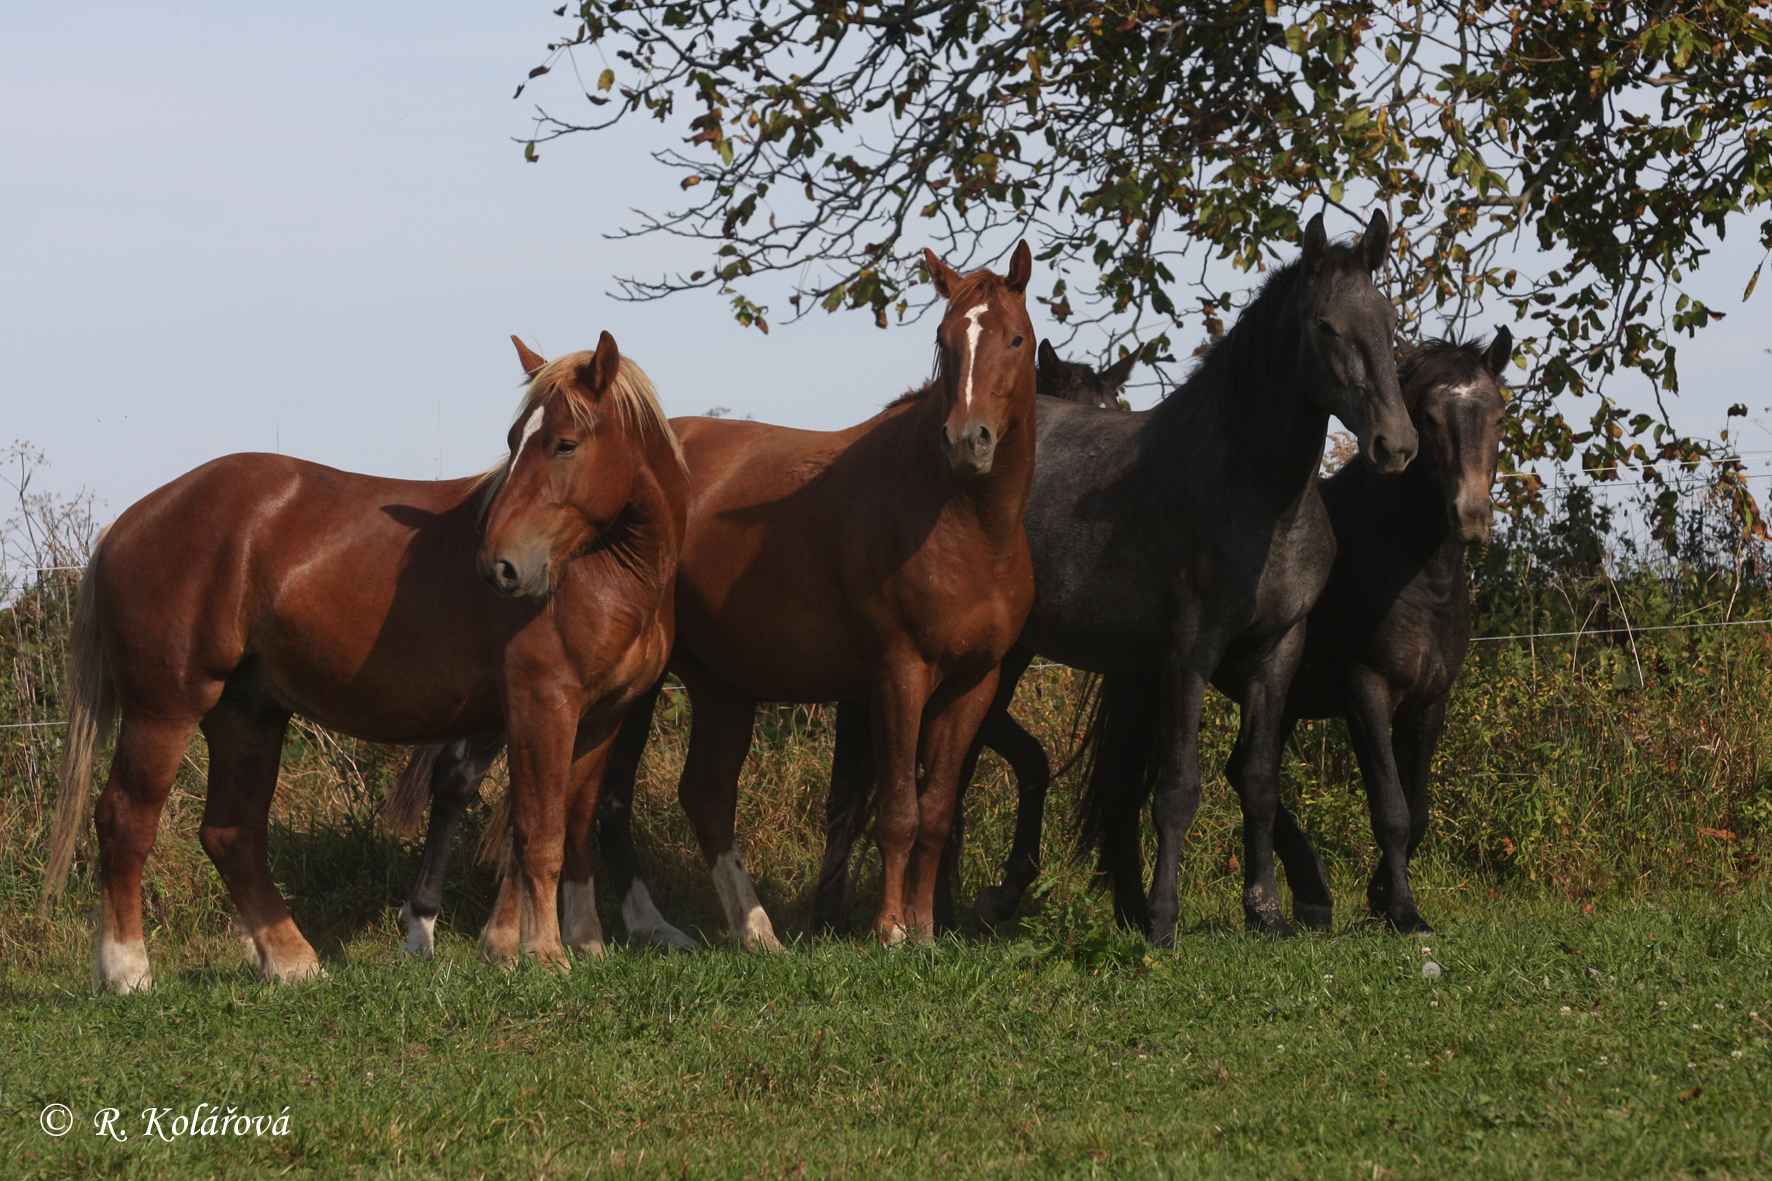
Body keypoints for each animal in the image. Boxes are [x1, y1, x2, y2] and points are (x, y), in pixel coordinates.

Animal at [43, 331, 683, 985]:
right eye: (514, 441)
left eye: (565, 443)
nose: (500, 566)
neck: (601, 571)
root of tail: (128, 524)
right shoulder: (541, 703)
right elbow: (540, 831)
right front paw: (545, 954)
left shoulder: (601, 717)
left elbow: (571, 824)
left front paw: (579, 943)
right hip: (165, 710)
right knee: (125, 821)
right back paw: (126, 970)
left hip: (247, 713)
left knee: (230, 833)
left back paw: (292, 961)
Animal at [398, 241, 1034, 950]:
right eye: (944, 342)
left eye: (1015, 338)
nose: (968, 440)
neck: (963, 526)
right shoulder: (900, 674)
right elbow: (899, 809)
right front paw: (892, 932)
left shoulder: (974, 682)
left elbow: (938, 809)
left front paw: (923, 930)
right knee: (484, 780)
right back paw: (453, 927)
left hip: (711, 684)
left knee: (681, 796)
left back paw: (734, 929)